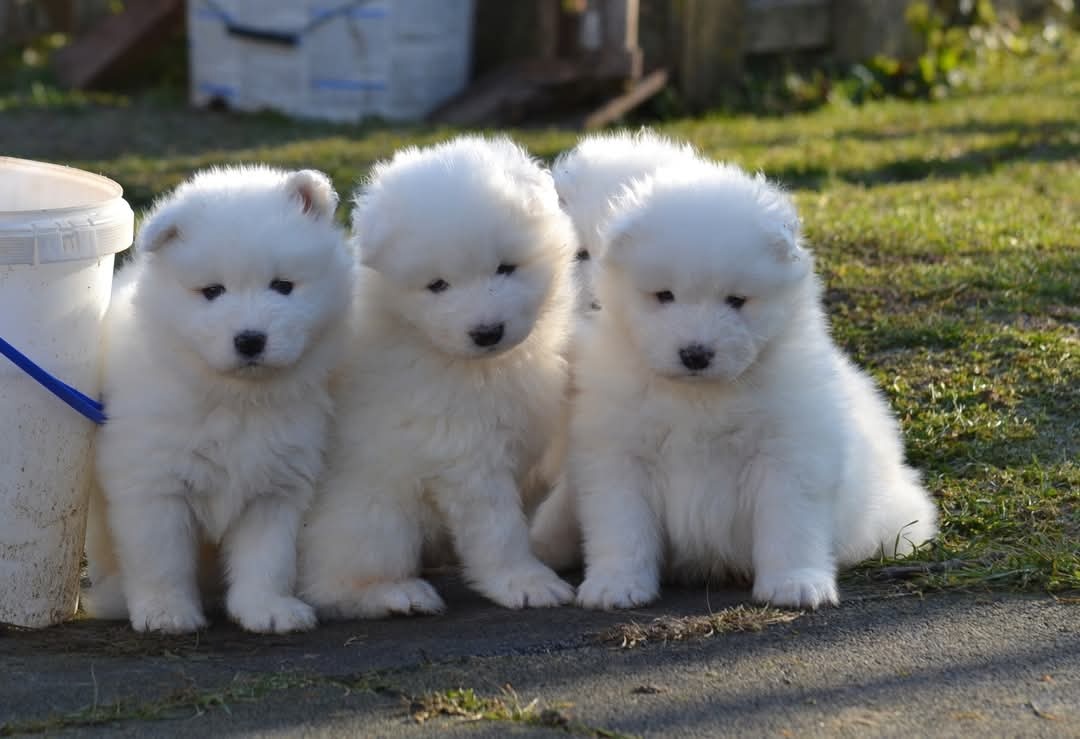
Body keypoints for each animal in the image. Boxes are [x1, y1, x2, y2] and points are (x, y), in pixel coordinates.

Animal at [85, 167, 354, 635]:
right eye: (212, 291)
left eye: (283, 286)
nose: (250, 340)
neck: (236, 399)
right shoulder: (154, 484)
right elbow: (161, 559)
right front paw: (166, 612)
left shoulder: (276, 486)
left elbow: (267, 558)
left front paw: (267, 609)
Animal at [300, 133, 578, 617]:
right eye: (437, 285)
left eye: (506, 267)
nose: (487, 332)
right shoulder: (466, 452)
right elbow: (499, 529)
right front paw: (526, 582)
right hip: (375, 513)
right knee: (331, 582)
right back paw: (396, 593)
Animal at [531, 158, 937, 609]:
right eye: (664, 296)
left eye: (736, 300)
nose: (695, 354)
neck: (696, 395)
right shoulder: (618, 457)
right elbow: (622, 529)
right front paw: (616, 584)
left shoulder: (788, 454)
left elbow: (790, 526)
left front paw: (795, 582)